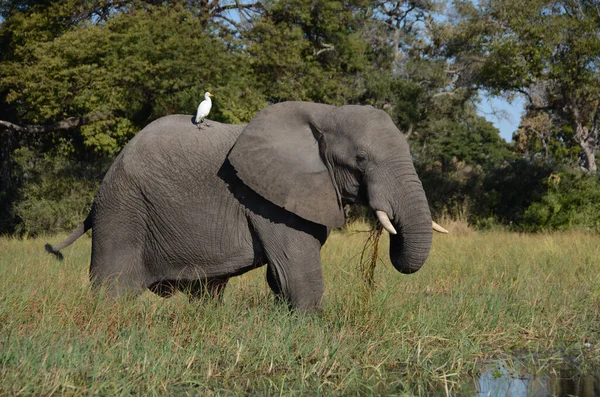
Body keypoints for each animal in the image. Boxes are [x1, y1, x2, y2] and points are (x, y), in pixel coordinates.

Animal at [47, 100, 448, 310]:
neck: (325, 113)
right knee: (111, 290)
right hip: (122, 210)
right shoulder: (265, 200)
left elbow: (280, 275)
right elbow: (297, 273)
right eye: (361, 159)